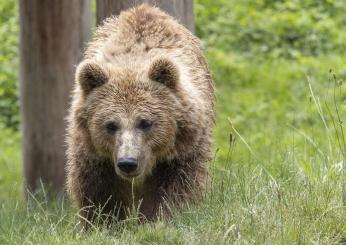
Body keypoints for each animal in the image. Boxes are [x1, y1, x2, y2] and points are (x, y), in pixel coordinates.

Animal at [66, 3, 215, 224]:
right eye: (111, 125)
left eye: (145, 122)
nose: (128, 163)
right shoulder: (93, 153)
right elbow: (99, 192)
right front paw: (106, 221)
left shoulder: (181, 150)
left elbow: (174, 188)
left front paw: (158, 218)